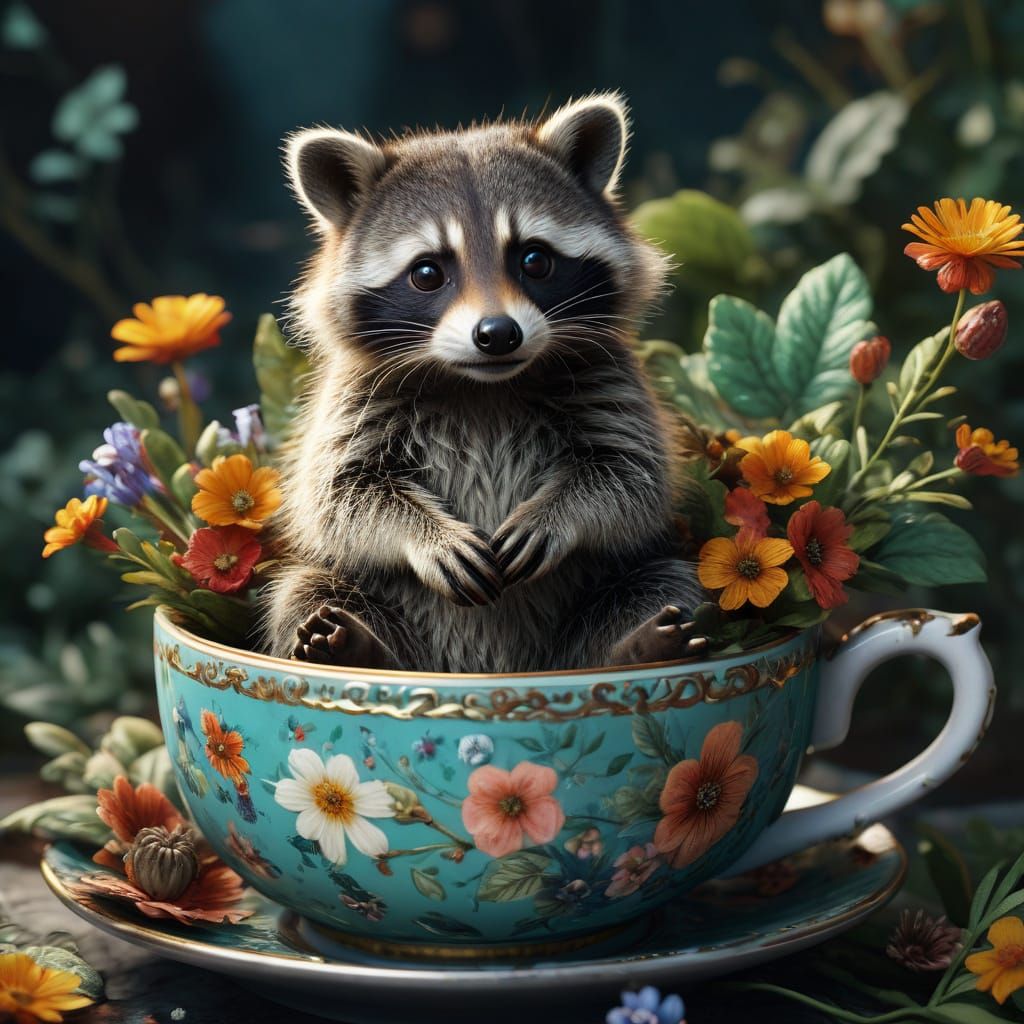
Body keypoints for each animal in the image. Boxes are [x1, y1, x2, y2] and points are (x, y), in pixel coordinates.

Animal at [262, 93, 703, 673]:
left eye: (534, 259)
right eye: (427, 272)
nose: (498, 334)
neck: (482, 385)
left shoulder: (609, 378)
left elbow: (631, 477)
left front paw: (557, 513)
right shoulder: (354, 401)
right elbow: (340, 495)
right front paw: (426, 536)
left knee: (664, 582)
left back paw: (636, 646)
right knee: (304, 591)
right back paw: (357, 647)